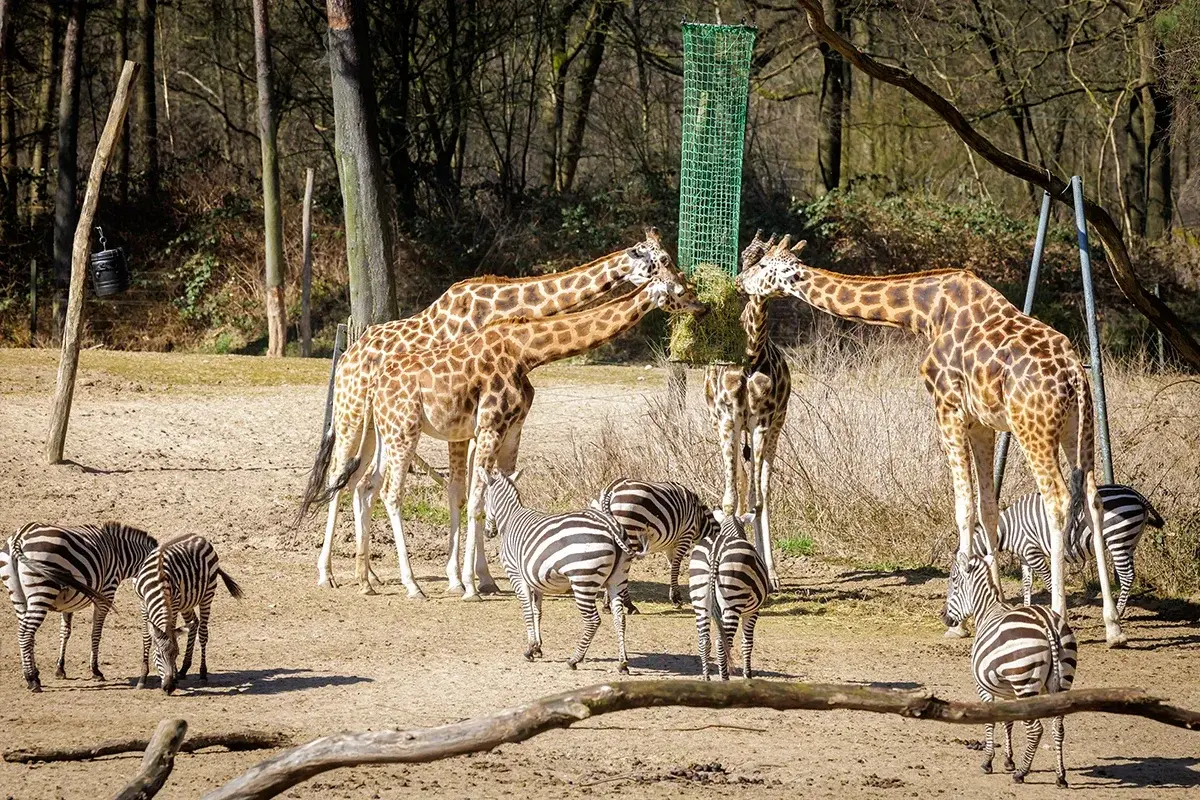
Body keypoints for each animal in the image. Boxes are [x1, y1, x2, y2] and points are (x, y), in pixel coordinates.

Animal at [300, 230, 675, 595]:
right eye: (664, 260)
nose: (683, 286)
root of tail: (346, 356)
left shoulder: (478, 426)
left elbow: (473, 491)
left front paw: (480, 577)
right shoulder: (469, 425)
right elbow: (462, 493)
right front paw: (462, 578)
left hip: (374, 432)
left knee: (359, 484)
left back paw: (371, 576)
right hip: (351, 418)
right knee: (338, 478)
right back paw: (327, 574)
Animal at [357, 275, 705, 600]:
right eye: (680, 289)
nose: (703, 307)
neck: (526, 352)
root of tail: (375, 384)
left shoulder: (513, 429)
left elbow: (506, 491)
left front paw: (492, 579)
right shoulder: (490, 427)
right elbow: (477, 499)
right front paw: (470, 585)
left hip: (386, 433)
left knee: (367, 486)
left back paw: (367, 581)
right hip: (404, 431)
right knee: (391, 493)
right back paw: (412, 585)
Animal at [738, 235, 1124, 647]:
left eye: (763, 267)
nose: (740, 282)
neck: (925, 314)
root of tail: (1073, 372)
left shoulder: (947, 406)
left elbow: (963, 506)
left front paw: (959, 621)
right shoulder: (981, 422)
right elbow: (988, 506)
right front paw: (994, 602)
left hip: (1032, 427)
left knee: (1057, 498)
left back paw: (1059, 615)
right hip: (1078, 428)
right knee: (1093, 498)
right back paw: (1113, 624)